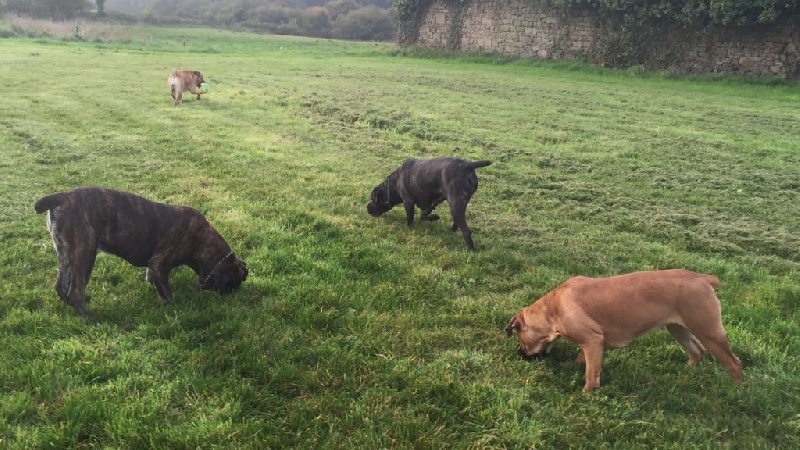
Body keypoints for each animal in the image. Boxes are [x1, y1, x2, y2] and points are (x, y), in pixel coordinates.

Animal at [506, 268, 744, 392]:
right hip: (678, 329)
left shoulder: (592, 341)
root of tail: (702, 278)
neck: (552, 309)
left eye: (520, 339)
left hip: (709, 333)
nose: (519, 354)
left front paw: (586, 394)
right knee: (696, 352)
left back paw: (737, 391)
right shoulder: (593, 345)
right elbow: (582, 359)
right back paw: (686, 372)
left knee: (734, 362)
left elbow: (591, 374)